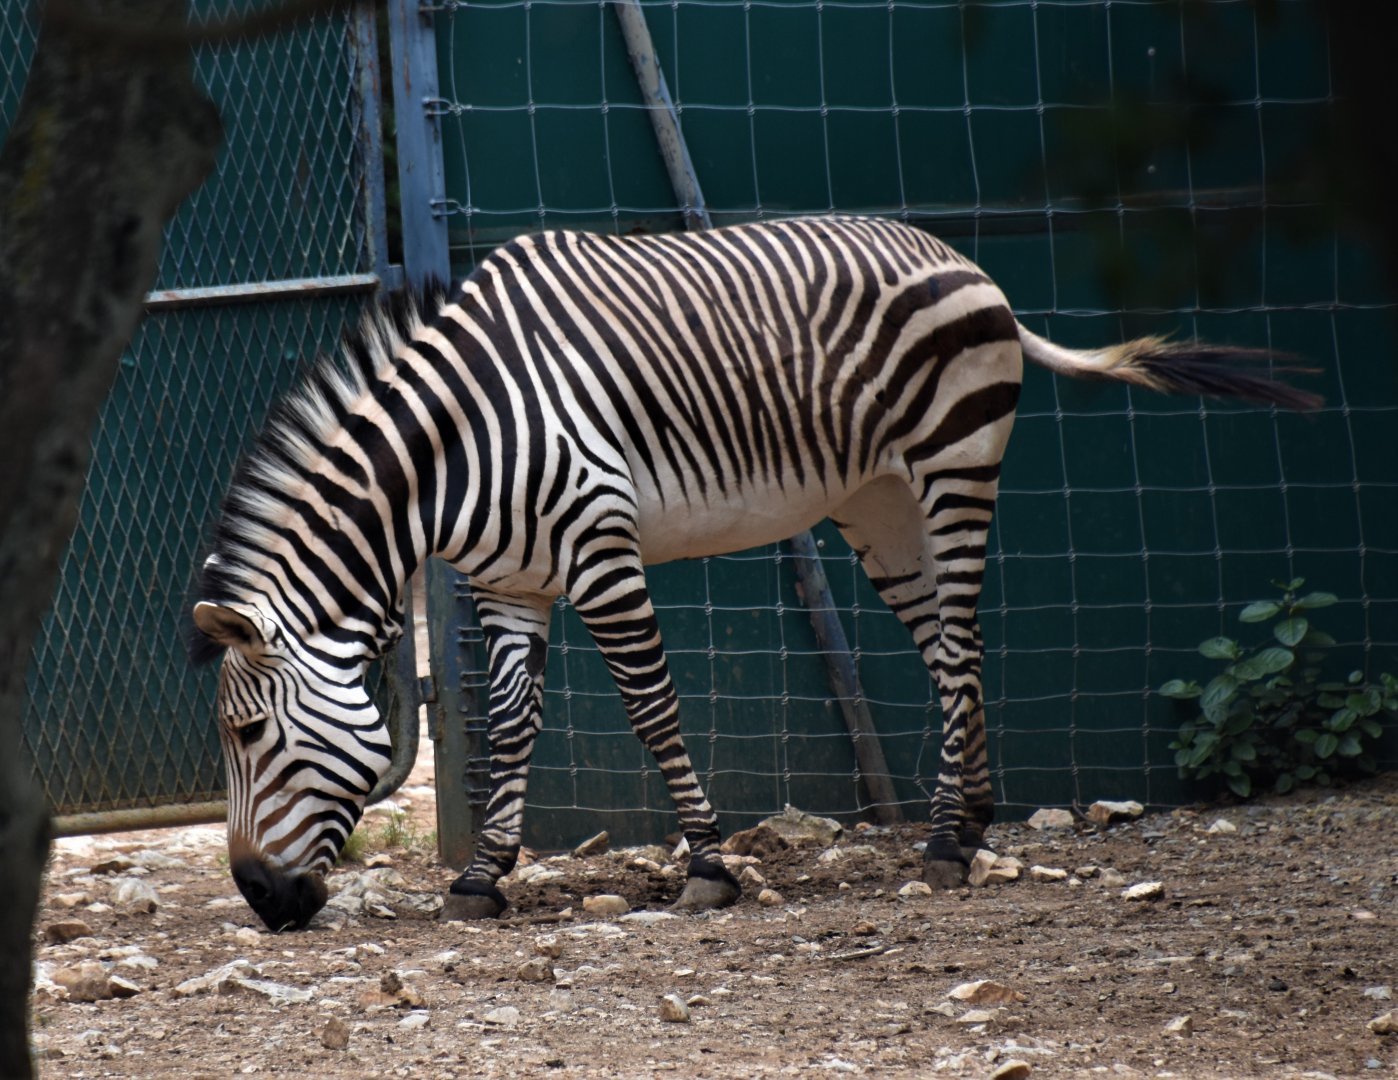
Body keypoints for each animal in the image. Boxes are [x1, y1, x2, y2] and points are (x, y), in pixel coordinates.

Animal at [190, 215, 1317, 931]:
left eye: (246, 735)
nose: (259, 902)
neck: (453, 443)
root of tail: (966, 262)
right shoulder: (511, 584)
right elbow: (510, 727)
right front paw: (482, 878)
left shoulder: (600, 550)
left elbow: (652, 708)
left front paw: (707, 864)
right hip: (880, 508)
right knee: (951, 646)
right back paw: (969, 822)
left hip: (955, 466)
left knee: (960, 647)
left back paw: (946, 845)